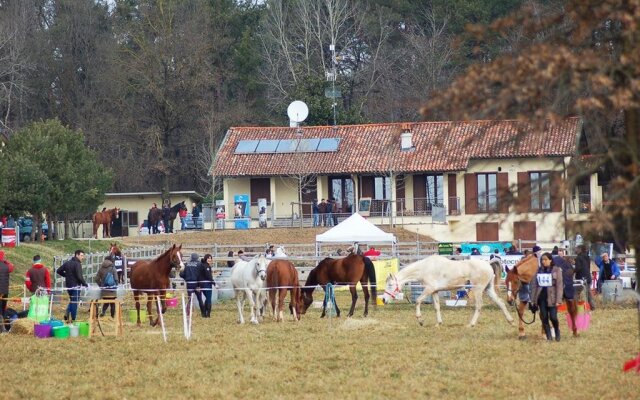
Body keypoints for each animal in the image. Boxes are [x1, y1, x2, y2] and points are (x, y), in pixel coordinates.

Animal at [380, 255, 516, 326]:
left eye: (390, 285)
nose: (384, 300)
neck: (425, 268)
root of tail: (488, 264)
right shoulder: (434, 291)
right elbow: (437, 307)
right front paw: (438, 323)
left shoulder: (429, 289)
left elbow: (418, 301)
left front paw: (420, 320)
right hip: (488, 289)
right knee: (500, 302)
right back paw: (510, 321)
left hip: (477, 290)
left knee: (479, 305)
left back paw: (471, 324)